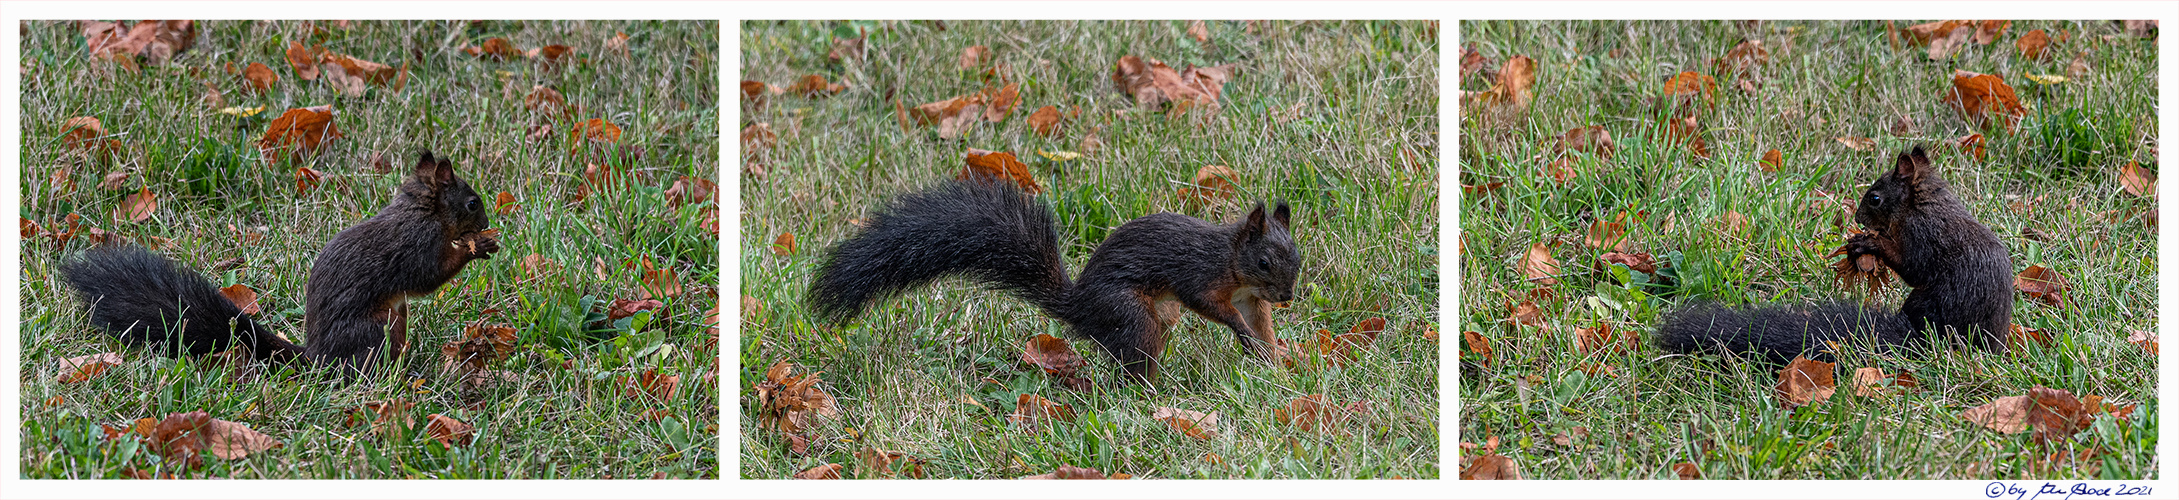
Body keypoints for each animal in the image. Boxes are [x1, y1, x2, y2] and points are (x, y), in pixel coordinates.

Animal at [60, 151, 505, 371]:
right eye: (472, 203)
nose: (486, 222)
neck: (421, 211)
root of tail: (316, 358)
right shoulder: (416, 246)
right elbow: (429, 276)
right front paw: (475, 247)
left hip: (396, 318)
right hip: (375, 329)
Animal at [814, 177, 1289, 379]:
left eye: (1297, 257)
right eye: (1265, 261)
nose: (1287, 296)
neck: (1233, 263)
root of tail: (1078, 307)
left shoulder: (1250, 296)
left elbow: (1260, 322)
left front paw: (1275, 356)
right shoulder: (1198, 274)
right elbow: (1208, 304)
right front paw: (1243, 334)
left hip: (1158, 313)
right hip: (1130, 314)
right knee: (1136, 357)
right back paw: (1152, 394)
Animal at [1664, 144, 2004, 362]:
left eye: (1875, 198)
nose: (1858, 218)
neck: (1925, 203)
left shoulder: (1923, 234)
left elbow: (1913, 268)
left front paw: (1870, 243)